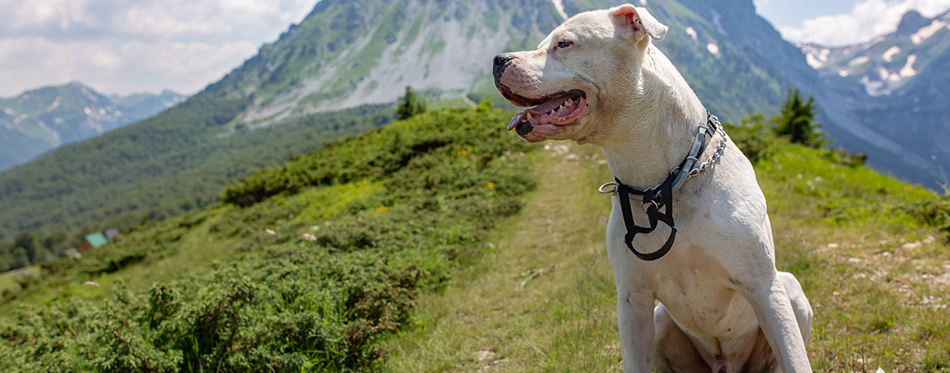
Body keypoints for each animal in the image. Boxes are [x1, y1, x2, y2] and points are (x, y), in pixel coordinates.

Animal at [494, 3, 816, 372]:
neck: (660, 185)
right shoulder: (633, 300)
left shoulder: (764, 287)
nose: (498, 59)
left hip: (789, 288)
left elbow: (795, 358)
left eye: (564, 43)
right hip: (661, 319)